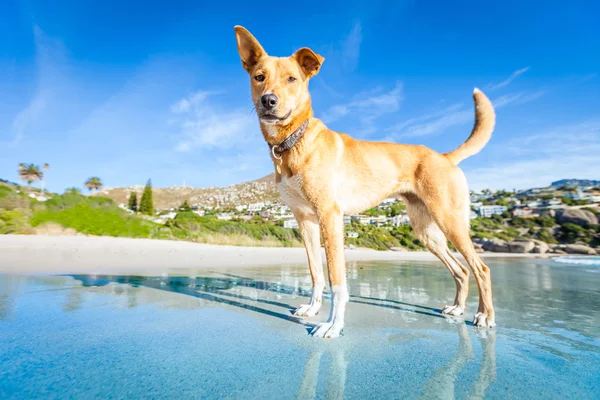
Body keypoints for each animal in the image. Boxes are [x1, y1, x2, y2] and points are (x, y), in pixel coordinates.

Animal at [234, 25, 496, 338]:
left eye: (291, 79)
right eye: (259, 77)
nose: (268, 101)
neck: (294, 141)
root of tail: (444, 156)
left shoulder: (330, 217)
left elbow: (336, 279)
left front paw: (333, 325)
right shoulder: (305, 221)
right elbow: (316, 272)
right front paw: (312, 309)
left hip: (450, 220)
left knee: (481, 269)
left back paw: (485, 316)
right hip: (427, 232)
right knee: (462, 270)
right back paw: (457, 308)